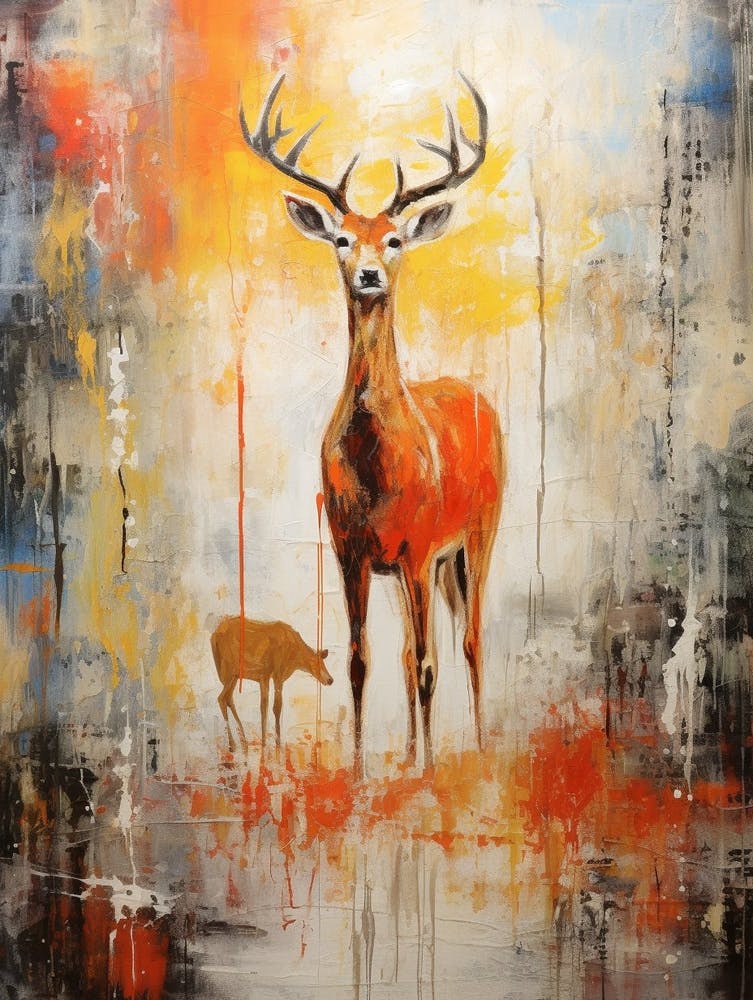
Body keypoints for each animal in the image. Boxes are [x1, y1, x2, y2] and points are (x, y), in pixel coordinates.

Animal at [212, 616, 333, 752]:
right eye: (316, 663)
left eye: (324, 663)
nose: (330, 680)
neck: (294, 658)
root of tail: (214, 636)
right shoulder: (277, 674)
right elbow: (276, 707)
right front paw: (276, 744)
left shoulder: (265, 676)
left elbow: (264, 706)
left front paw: (265, 743)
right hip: (228, 670)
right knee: (221, 698)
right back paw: (233, 744)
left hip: (235, 675)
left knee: (228, 698)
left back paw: (244, 742)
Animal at [241, 74, 505, 773]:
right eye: (341, 238)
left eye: (394, 239)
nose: (367, 274)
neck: (378, 462)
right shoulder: (350, 546)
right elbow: (363, 663)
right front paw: (362, 772)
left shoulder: (417, 544)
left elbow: (430, 668)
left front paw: (430, 774)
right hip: (427, 565)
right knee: (415, 650)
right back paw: (416, 751)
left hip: (475, 534)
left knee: (468, 642)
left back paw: (478, 745)